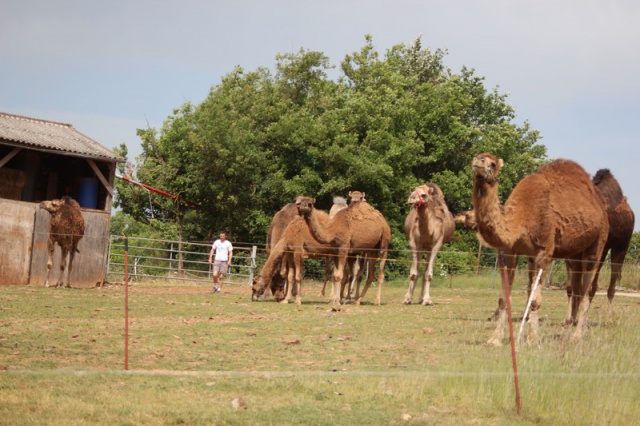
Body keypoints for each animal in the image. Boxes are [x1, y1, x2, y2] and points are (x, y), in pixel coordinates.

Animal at [472, 154, 608, 346]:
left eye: (492, 163)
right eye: (477, 156)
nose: (478, 162)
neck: (519, 221)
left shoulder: (544, 253)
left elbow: (535, 300)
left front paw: (533, 338)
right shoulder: (509, 253)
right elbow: (504, 298)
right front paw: (495, 338)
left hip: (597, 244)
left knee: (587, 288)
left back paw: (577, 336)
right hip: (573, 255)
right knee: (575, 289)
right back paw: (565, 334)